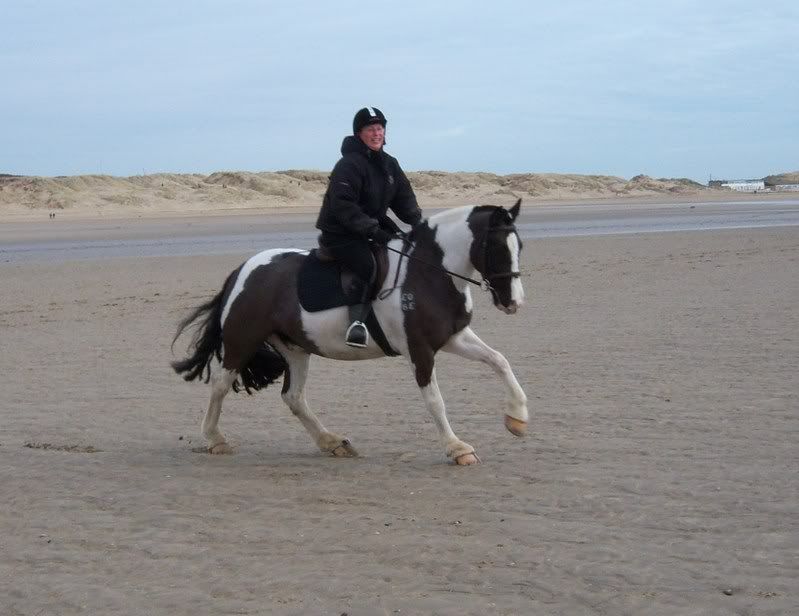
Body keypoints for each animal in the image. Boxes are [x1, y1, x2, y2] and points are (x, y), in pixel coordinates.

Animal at [171, 199, 528, 465]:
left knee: (293, 396)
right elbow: (435, 400)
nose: (514, 302)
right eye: (497, 247)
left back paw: (332, 442)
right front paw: (457, 448)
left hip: (295, 348)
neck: (428, 273)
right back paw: (215, 439)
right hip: (242, 338)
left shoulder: (453, 337)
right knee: (221, 384)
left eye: (519, 246)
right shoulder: (419, 349)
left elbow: (499, 360)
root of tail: (243, 270)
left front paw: (517, 418)